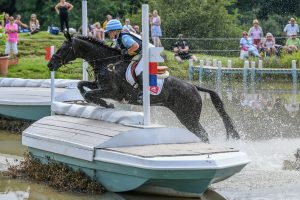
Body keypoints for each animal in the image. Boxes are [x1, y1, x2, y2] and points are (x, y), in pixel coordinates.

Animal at [48, 33, 240, 142]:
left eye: (64, 48)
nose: (50, 64)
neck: (107, 62)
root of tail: (194, 87)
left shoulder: (114, 92)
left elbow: (90, 95)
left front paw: (106, 104)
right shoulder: (99, 84)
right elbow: (82, 86)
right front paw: (101, 103)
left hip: (188, 117)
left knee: (203, 134)